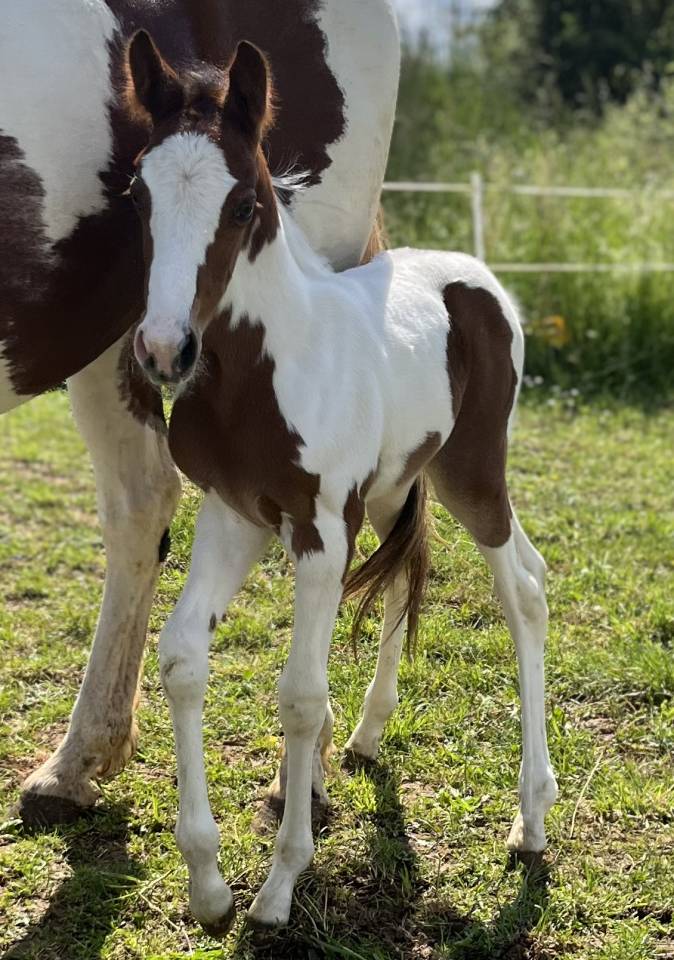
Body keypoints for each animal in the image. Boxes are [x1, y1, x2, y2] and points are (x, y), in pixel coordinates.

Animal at [0, 0, 400, 826]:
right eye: (136, 198)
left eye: (245, 204)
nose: (168, 350)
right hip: (111, 342)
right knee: (142, 503)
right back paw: (75, 764)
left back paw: (303, 775)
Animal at [124, 36, 559, 932]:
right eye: (137, 194)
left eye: (243, 205)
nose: (164, 350)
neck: (261, 369)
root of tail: (479, 279)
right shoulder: (235, 515)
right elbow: (182, 659)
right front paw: (208, 884)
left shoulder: (322, 528)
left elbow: (299, 695)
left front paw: (280, 886)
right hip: (400, 483)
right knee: (414, 570)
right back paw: (370, 734)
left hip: (474, 474)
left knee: (524, 591)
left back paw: (531, 817)